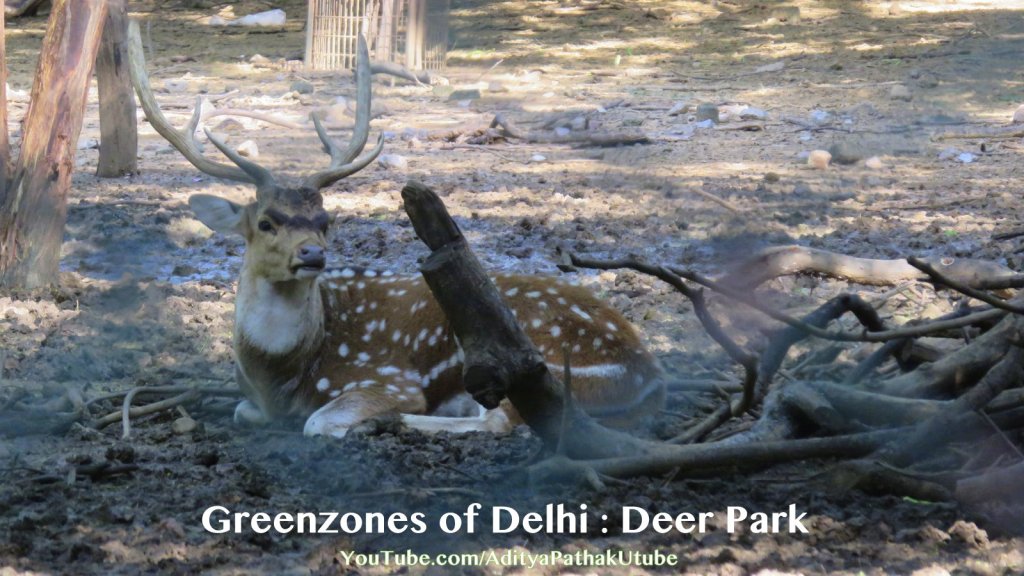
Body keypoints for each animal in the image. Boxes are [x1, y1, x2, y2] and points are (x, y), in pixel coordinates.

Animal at [127, 30, 666, 438]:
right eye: (266, 222)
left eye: (326, 220)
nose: (312, 255)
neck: (278, 376)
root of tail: (648, 369)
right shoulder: (250, 400)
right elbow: (243, 412)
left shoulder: (389, 378)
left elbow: (318, 422)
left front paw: (370, 420)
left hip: (537, 365)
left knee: (500, 422)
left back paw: (397, 422)